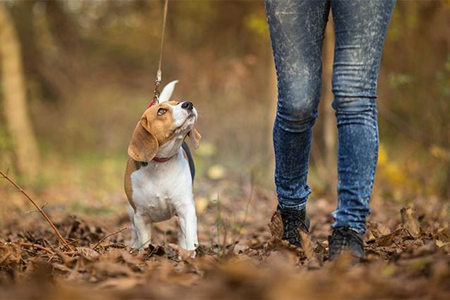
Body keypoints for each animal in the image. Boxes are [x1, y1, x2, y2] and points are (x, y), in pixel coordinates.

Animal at [123, 80, 200, 251]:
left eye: (177, 103)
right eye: (161, 111)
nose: (188, 104)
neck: (160, 165)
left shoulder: (185, 209)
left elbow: (189, 238)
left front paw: (189, 253)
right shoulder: (141, 216)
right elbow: (144, 244)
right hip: (131, 213)